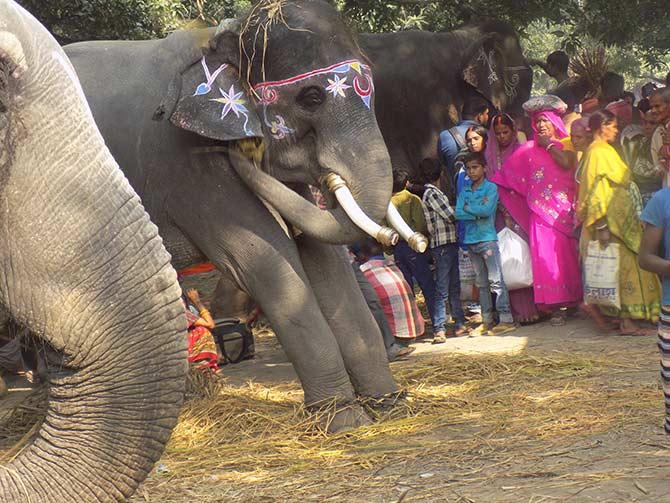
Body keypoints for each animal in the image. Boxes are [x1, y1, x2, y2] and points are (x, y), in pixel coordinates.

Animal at [65, 0, 428, 434]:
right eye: (311, 98)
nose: (406, 240)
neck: (222, 38)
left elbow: (324, 261)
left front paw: (389, 406)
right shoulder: (184, 164)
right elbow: (264, 263)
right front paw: (342, 419)